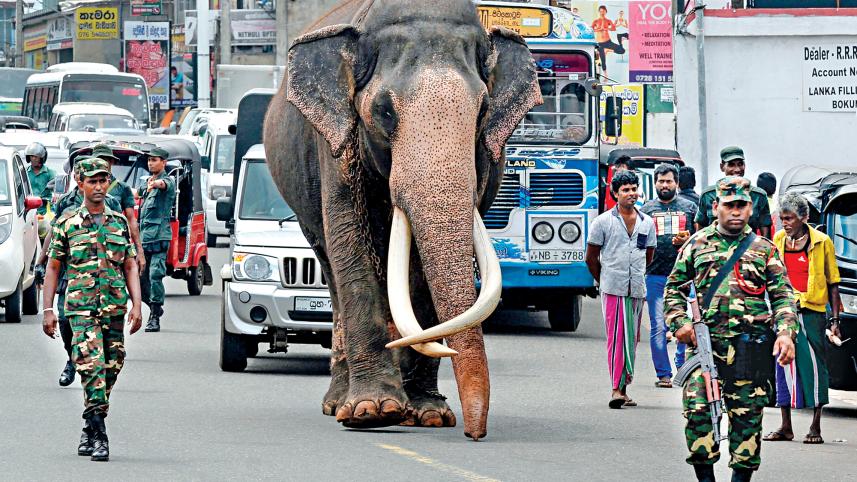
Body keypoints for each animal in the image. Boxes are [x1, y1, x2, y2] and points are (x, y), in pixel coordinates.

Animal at [263, 0, 541, 440]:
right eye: (384, 111)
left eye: (482, 111)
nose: (475, 433)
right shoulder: (335, 146)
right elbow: (348, 243)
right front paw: (371, 412)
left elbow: (422, 274)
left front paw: (428, 414)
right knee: (330, 266)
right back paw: (337, 403)